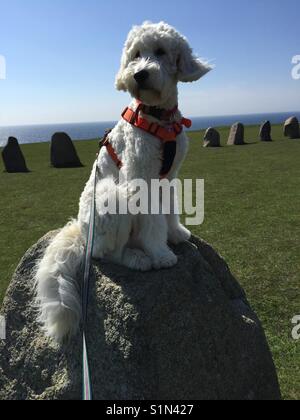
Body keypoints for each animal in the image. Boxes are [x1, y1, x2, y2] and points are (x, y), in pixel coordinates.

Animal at [34, 20, 211, 342]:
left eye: (160, 51)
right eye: (136, 54)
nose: (139, 74)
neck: (158, 117)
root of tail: (81, 231)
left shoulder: (169, 177)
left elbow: (169, 210)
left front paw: (176, 233)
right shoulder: (142, 181)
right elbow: (153, 224)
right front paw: (161, 253)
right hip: (110, 199)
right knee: (104, 254)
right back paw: (136, 258)